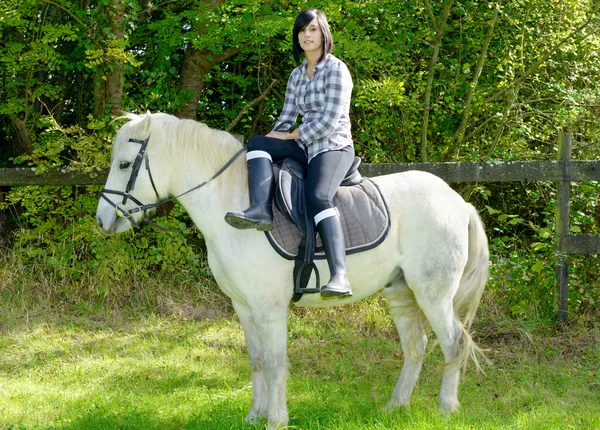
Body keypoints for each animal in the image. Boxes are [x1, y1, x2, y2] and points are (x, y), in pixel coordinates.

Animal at [94, 112, 488, 428]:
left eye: (125, 165)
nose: (102, 220)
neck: (234, 206)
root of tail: (457, 201)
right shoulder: (243, 305)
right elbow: (255, 360)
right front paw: (254, 416)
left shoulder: (269, 306)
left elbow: (274, 362)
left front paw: (276, 420)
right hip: (400, 291)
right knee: (415, 346)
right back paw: (395, 407)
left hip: (433, 293)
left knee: (453, 342)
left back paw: (446, 408)